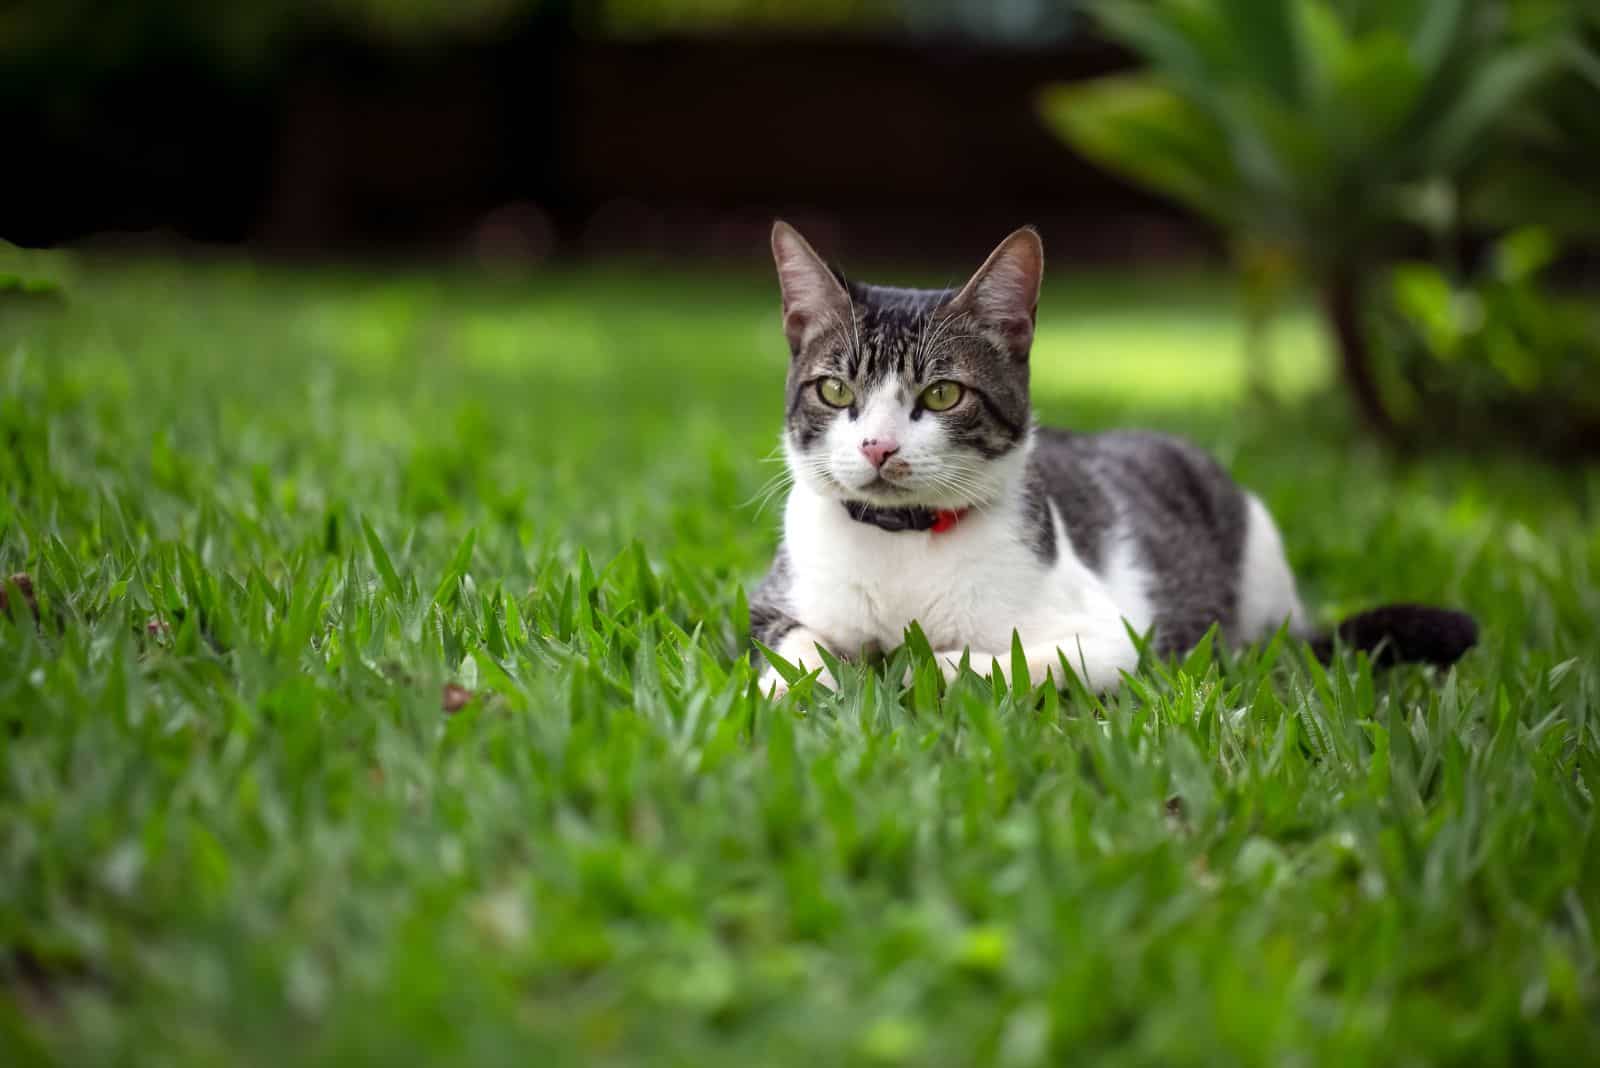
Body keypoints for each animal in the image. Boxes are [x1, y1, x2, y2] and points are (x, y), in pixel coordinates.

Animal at [748, 220, 1472, 697]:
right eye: (836, 390)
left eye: (943, 393)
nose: (878, 445)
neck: (903, 544)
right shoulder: (771, 606)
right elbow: (796, 652)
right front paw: (798, 689)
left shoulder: (1109, 636)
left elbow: (998, 662)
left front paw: (919, 665)